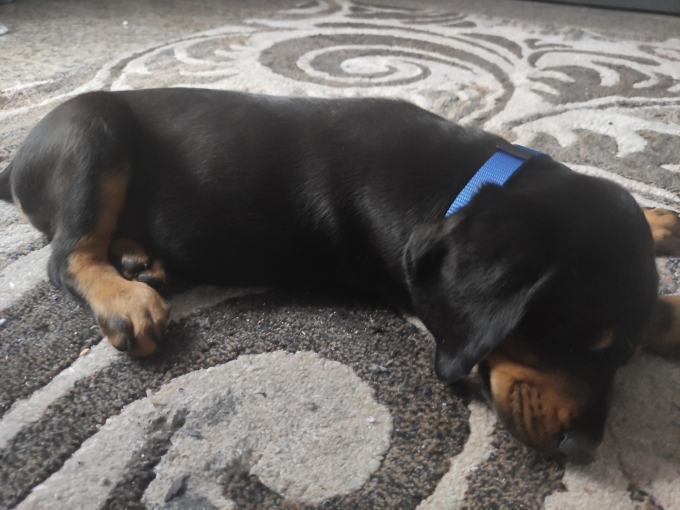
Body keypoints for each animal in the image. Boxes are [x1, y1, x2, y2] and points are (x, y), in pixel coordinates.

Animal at [2, 88, 679, 465]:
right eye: (568, 339)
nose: (584, 451)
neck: (473, 180)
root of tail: (17, 159)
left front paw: (660, 251)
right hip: (92, 130)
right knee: (66, 252)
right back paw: (127, 296)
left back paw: (141, 258)